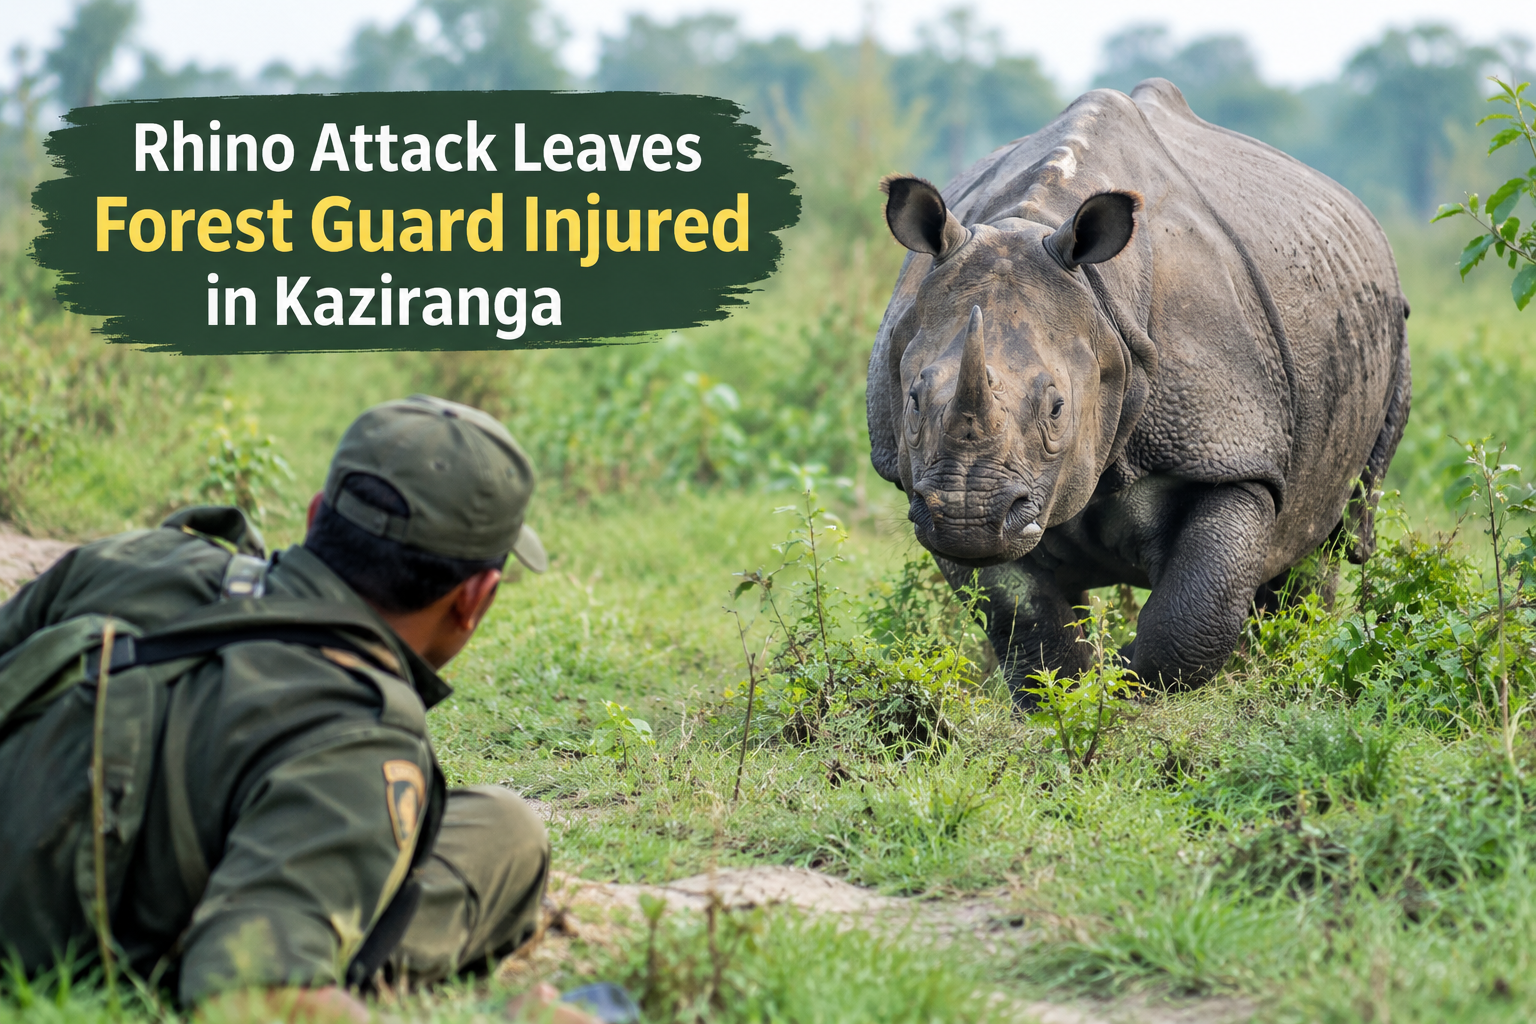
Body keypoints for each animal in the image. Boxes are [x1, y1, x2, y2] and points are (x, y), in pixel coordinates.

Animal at [867, 79, 1410, 703]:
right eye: (912, 400)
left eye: (1057, 408)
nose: (967, 512)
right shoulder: (922, 483)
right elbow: (1022, 614)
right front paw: (1068, 697)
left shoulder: (1230, 448)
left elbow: (1192, 617)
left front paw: (1129, 688)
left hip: (1387, 332)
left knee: (1333, 536)